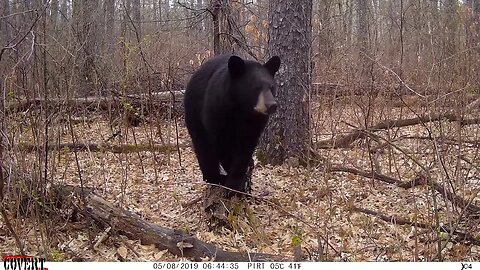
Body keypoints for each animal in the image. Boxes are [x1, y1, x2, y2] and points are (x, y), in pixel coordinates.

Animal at [184, 53, 282, 192]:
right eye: (256, 87)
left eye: (271, 87)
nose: (272, 105)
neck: (242, 108)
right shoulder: (218, 108)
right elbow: (220, 142)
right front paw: (232, 180)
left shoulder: (255, 120)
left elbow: (246, 145)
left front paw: (237, 178)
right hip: (194, 111)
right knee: (203, 145)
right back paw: (213, 177)